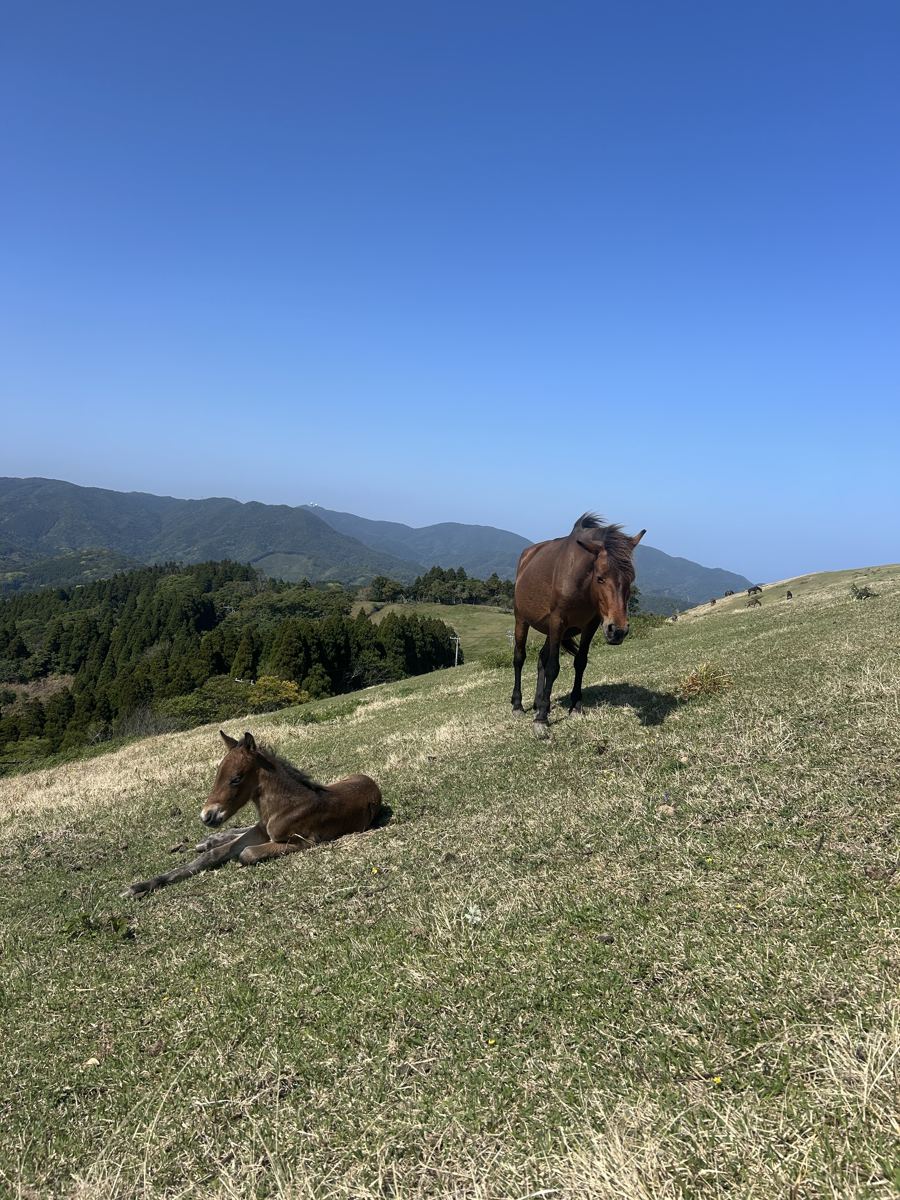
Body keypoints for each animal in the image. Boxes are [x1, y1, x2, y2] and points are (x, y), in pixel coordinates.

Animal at [124, 731, 382, 897]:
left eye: (236, 778)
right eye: (217, 774)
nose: (207, 816)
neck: (285, 806)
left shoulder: (307, 841)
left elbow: (245, 853)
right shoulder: (259, 831)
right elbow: (214, 855)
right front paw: (139, 887)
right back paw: (208, 840)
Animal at [511, 513, 645, 738]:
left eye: (631, 578)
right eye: (600, 578)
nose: (618, 631)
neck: (580, 584)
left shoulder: (590, 625)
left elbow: (580, 663)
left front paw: (575, 707)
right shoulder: (557, 622)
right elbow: (553, 668)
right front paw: (541, 720)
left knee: (540, 658)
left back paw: (540, 702)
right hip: (521, 619)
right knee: (520, 659)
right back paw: (518, 705)